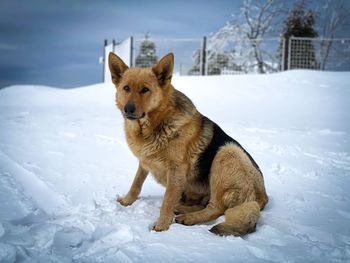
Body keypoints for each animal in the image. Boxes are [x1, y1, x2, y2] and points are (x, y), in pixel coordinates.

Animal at [108, 52, 268, 237]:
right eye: (126, 88)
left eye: (145, 90)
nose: (128, 109)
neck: (155, 125)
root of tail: (264, 197)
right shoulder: (145, 161)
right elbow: (136, 184)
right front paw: (127, 201)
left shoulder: (176, 170)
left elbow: (167, 201)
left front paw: (161, 227)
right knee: (204, 204)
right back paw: (181, 209)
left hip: (227, 152)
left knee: (216, 208)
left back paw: (188, 218)